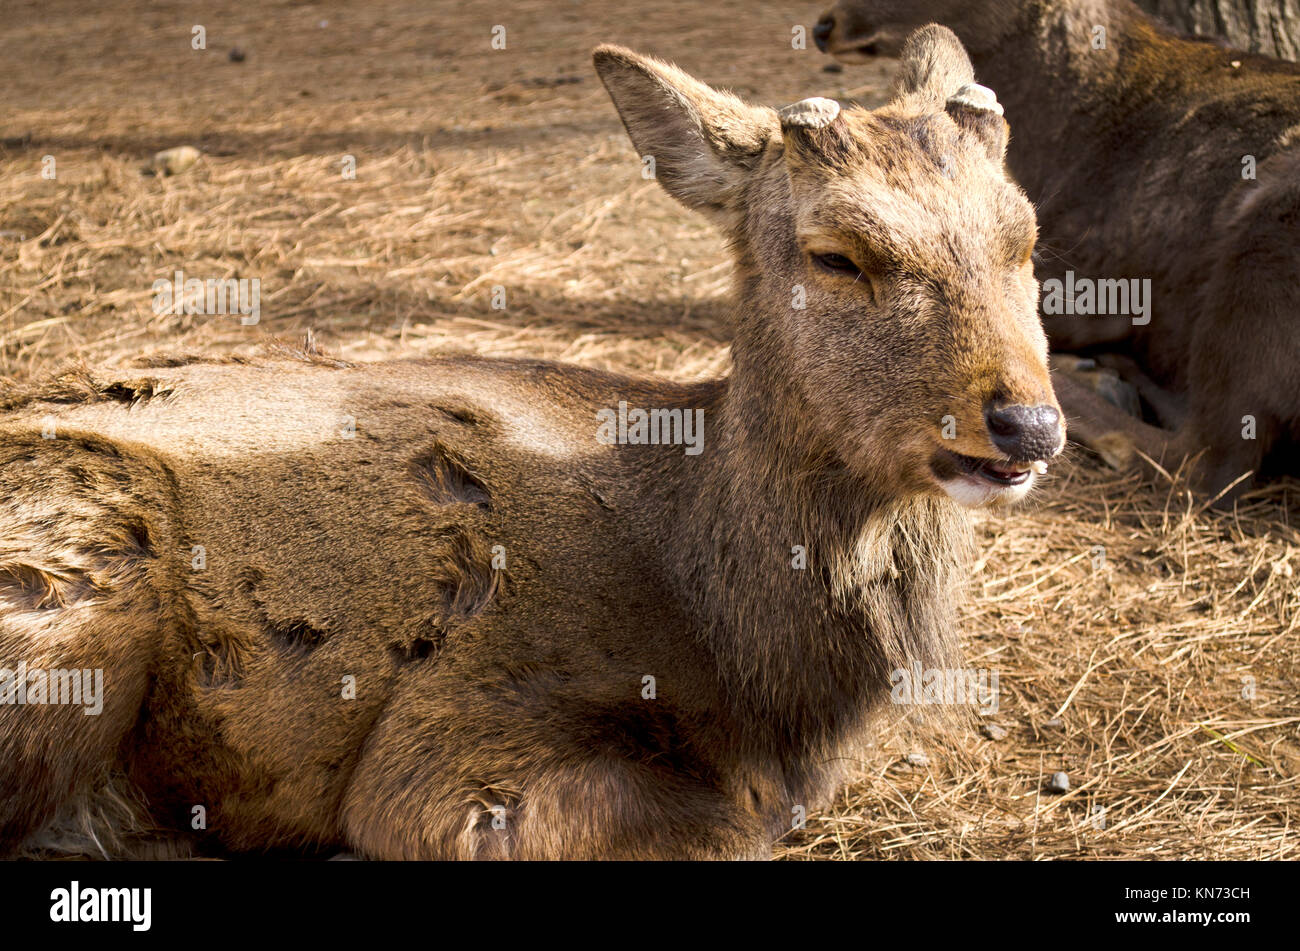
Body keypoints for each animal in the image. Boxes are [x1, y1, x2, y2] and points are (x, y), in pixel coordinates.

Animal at [0, 27, 1055, 862]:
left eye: (1025, 239)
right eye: (836, 253)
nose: (1030, 424)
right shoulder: (456, 740)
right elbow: (729, 832)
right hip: (70, 582)